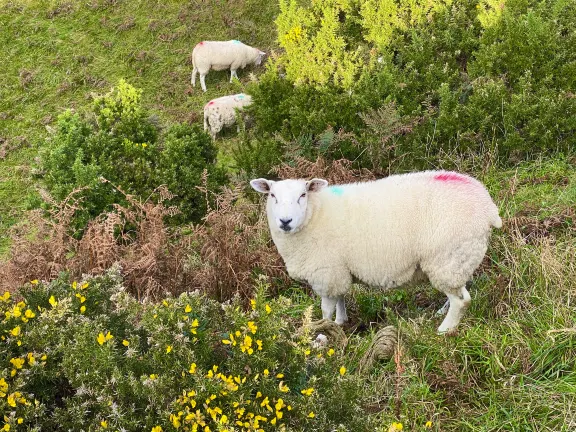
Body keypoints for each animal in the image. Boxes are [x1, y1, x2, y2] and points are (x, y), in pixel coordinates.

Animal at [250, 172, 502, 334]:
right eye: (272, 195)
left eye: (303, 195)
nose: (285, 221)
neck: (314, 214)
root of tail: (488, 206)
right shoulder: (338, 269)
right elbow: (341, 297)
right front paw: (341, 322)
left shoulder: (325, 271)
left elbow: (325, 308)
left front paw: (323, 332)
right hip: (458, 258)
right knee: (459, 290)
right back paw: (441, 312)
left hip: (446, 255)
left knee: (462, 300)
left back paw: (445, 329)